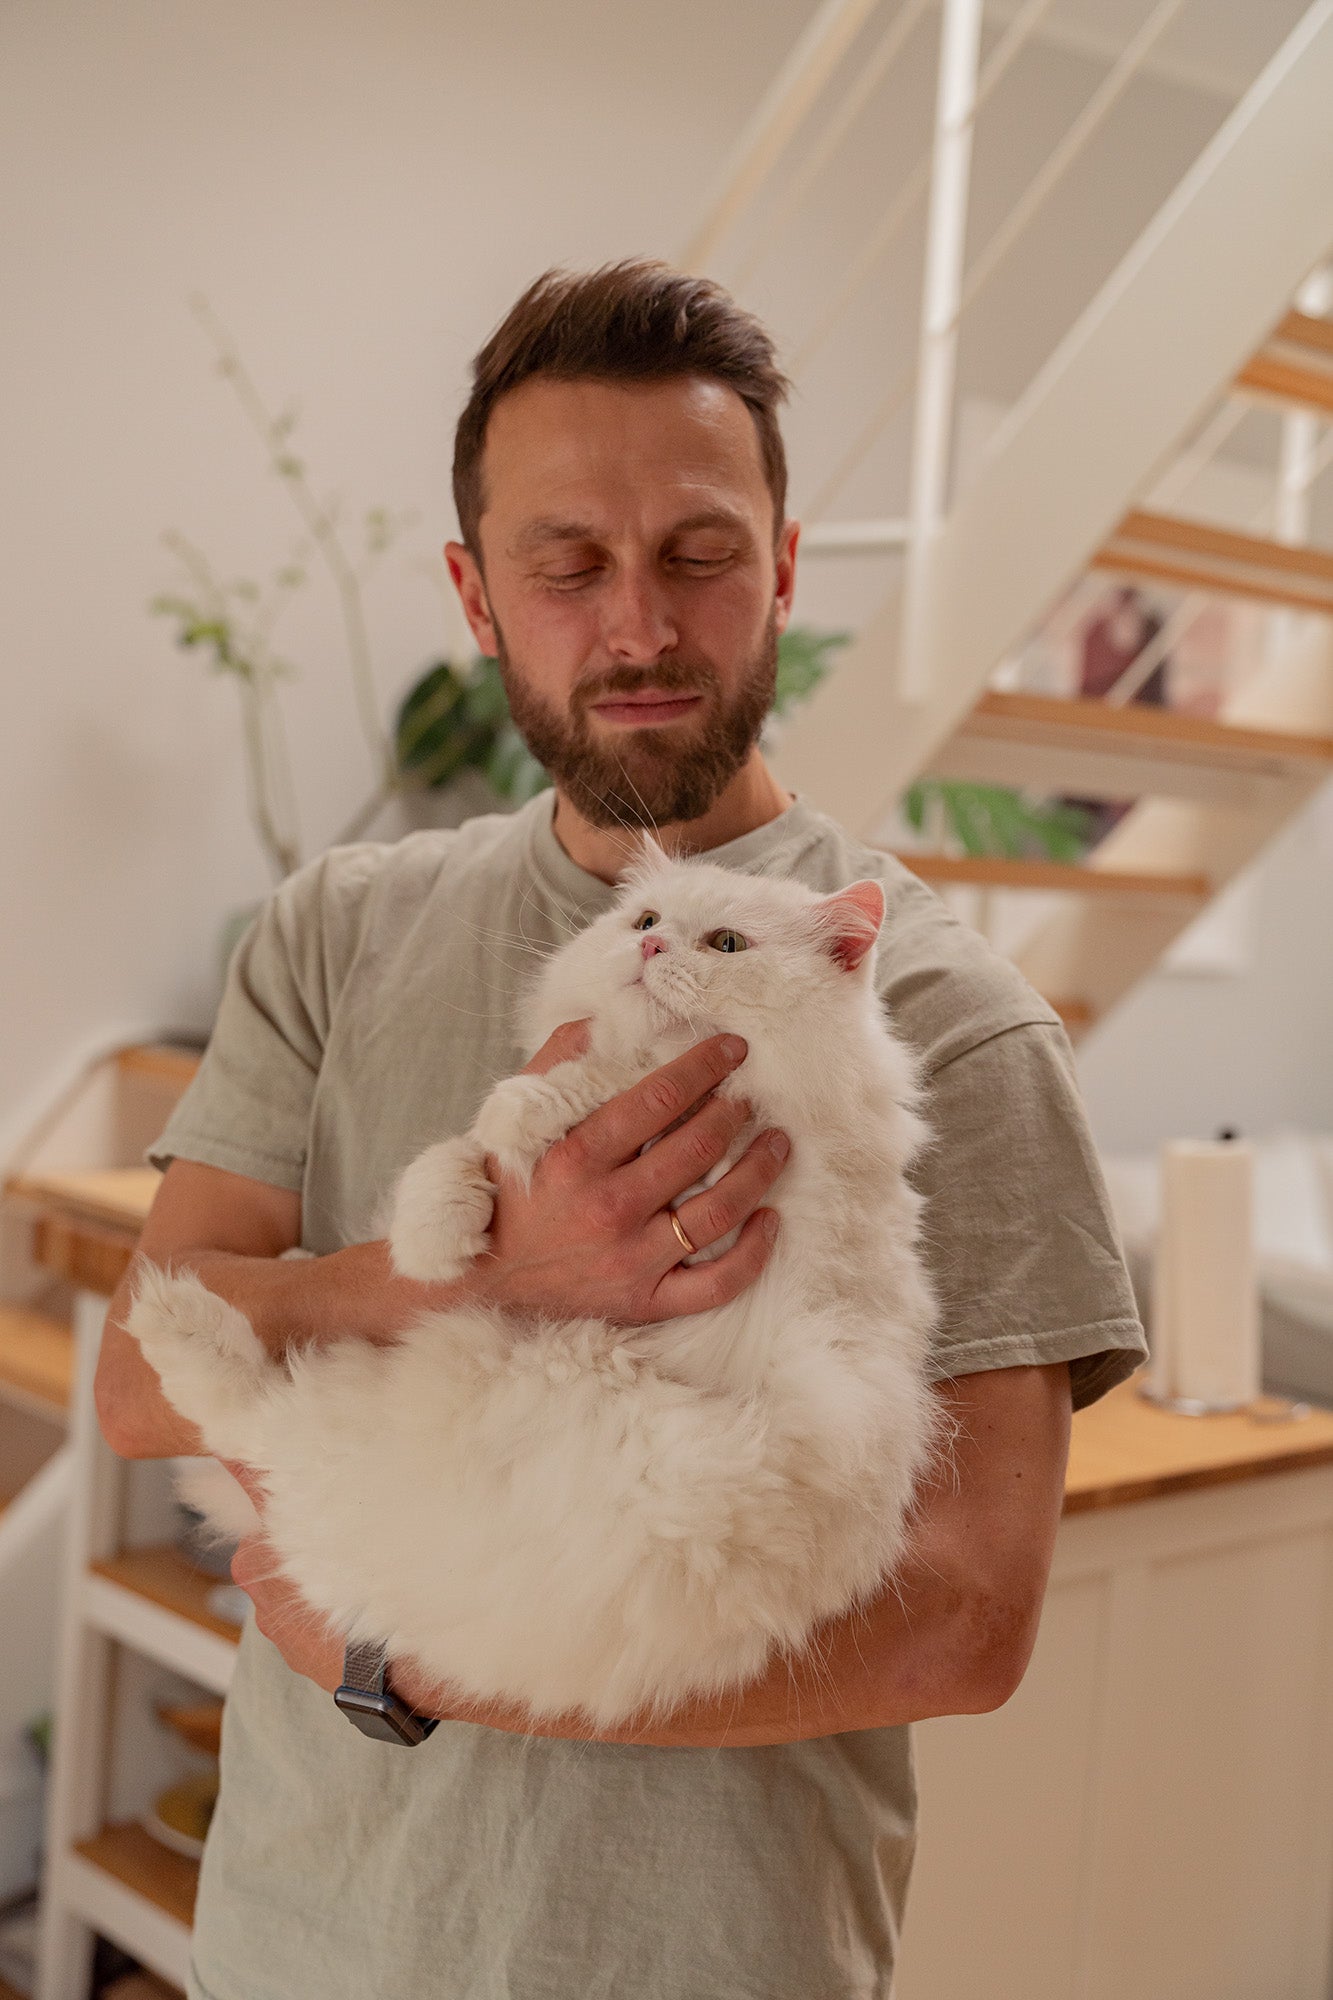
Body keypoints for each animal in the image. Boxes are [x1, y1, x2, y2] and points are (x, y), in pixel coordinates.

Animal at [130, 844, 940, 1736]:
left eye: (725, 944)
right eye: (646, 920)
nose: (651, 948)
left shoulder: (741, 1171)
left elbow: (589, 1084)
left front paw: (527, 1112)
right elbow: (456, 1157)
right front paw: (437, 1242)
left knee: (246, 1417)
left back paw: (170, 1311)